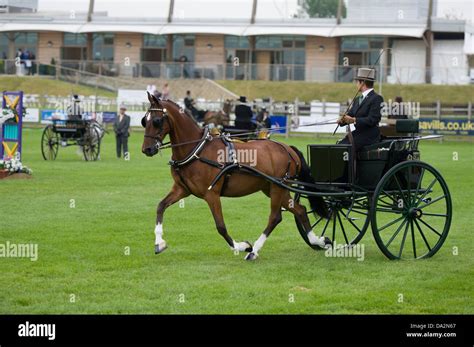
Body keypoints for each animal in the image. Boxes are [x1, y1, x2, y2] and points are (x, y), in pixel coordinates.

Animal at [143, 92, 332, 260]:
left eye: (157, 121)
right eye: (144, 120)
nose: (147, 149)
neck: (197, 150)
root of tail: (287, 148)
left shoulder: (211, 194)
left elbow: (220, 226)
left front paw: (242, 246)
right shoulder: (182, 189)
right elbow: (160, 206)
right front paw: (159, 243)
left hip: (277, 188)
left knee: (275, 217)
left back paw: (254, 251)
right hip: (274, 188)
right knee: (300, 210)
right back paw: (319, 241)